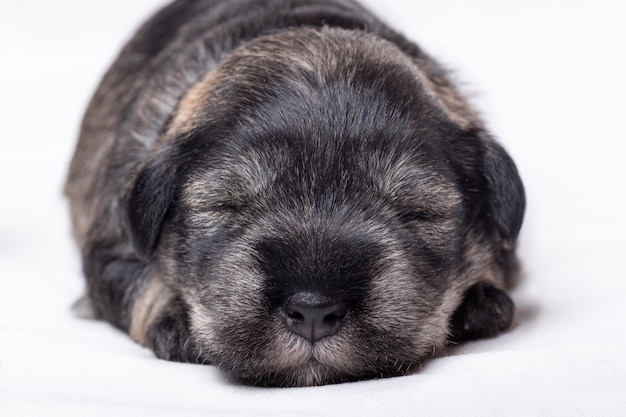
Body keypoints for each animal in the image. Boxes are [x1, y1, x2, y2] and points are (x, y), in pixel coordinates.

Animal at [64, 0, 520, 386]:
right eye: (225, 205)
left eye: (418, 212)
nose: (313, 309)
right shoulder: (111, 252)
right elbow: (143, 287)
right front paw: (176, 320)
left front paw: (478, 301)